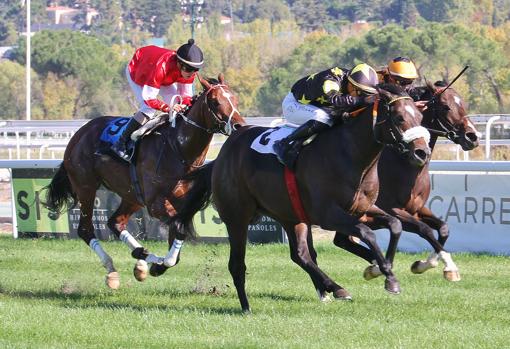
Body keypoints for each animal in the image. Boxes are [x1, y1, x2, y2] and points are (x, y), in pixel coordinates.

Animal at [41, 74, 245, 288]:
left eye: (235, 99)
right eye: (215, 102)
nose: (239, 125)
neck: (178, 150)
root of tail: (79, 134)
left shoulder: (180, 203)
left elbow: (176, 237)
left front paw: (156, 265)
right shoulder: (156, 204)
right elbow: (178, 232)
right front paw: (160, 263)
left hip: (132, 195)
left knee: (115, 223)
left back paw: (141, 260)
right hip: (85, 187)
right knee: (85, 229)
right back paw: (113, 270)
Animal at [170, 83, 430, 310]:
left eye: (419, 116)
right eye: (399, 118)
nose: (422, 152)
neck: (351, 154)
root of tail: (223, 154)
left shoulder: (363, 209)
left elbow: (395, 225)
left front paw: (384, 270)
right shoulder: (329, 214)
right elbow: (367, 234)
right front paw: (387, 276)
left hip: (290, 215)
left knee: (301, 255)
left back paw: (333, 287)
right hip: (237, 218)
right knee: (237, 265)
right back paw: (247, 307)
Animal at [334, 82, 478, 282]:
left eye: (463, 104)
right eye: (446, 106)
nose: (473, 137)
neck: (404, 163)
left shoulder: (417, 208)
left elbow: (443, 228)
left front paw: (426, 264)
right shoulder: (392, 209)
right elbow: (425, 230)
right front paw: (450, 267)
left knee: (341, 240)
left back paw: (374, 267)